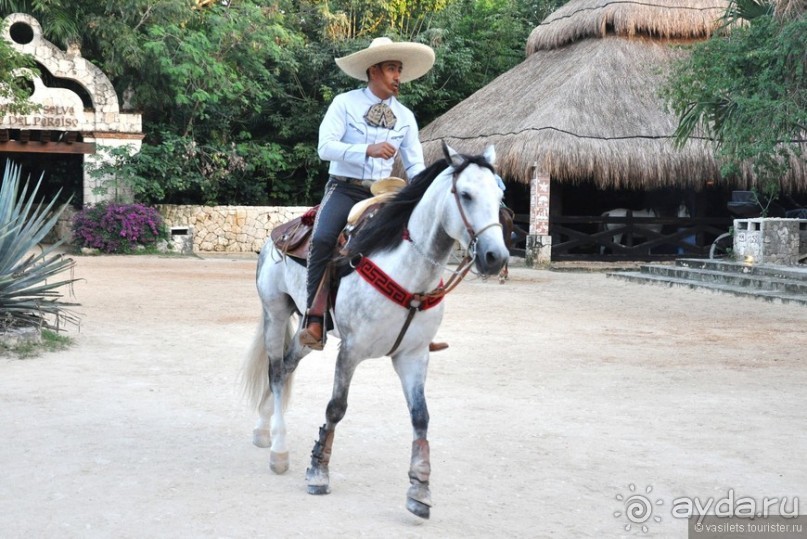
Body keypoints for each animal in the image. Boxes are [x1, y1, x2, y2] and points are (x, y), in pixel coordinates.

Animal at [240, 141, 508, 520]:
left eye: (499, 196)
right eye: (466, 194)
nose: (495, 257)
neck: (409, 272)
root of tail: (276, 237)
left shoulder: (413, 356)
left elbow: (421, 417)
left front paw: (419, 490)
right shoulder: (351, 351)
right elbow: (335, 408)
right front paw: (318, 472)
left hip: (309, 331)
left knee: (288, 365)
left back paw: (262, 430)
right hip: (275, 313)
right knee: (276, 372)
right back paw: (279, 448)